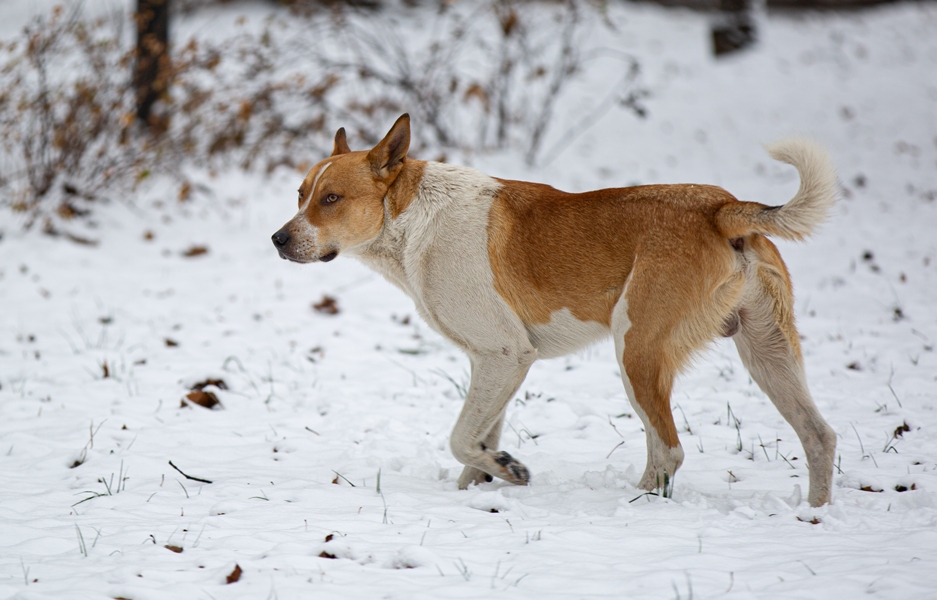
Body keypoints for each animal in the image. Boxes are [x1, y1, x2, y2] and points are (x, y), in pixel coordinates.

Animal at [274, 113, 836, 506]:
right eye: (300, 194)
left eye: (331, 198)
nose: (278, 239)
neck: (414, 217)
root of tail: (721, 207)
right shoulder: (493, 365)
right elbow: (478, 443)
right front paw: (483, 484)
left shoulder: (505, 355)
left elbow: (461, 439)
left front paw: (508, 470)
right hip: (768, 354)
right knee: (819, 437)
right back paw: (813, 515)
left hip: (636, 352)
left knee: (669, 450)